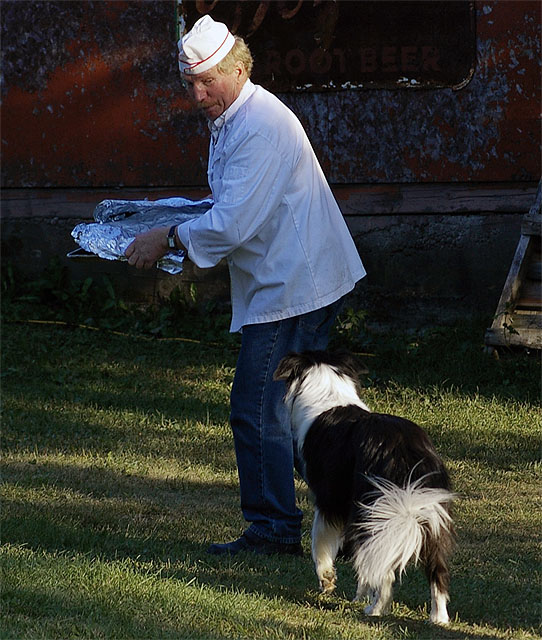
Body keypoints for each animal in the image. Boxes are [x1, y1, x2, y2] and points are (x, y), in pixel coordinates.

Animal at [274, 350, 456, 624]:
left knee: (386, 570)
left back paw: (376, 609)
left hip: (374, 508)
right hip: (425, 512)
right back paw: (438, 617)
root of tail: (403, 451)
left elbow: (319, 540)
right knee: (436, 569)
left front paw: (327, 580)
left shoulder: (329, 499)